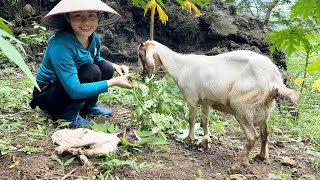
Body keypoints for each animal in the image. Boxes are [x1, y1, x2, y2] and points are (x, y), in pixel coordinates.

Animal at [138, 40, 300, 168]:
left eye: (141, 55)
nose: (143, 75)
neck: (180, 66)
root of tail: (274, 80)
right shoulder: (205, 101)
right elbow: (204, 121)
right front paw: (205, 141)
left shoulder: (191, 98)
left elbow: (191, 120)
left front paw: (188, 139)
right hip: (265, 108)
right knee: (265, 133)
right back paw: (261, 156)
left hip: (242, 105)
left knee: (252, 136)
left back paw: (239, 163)